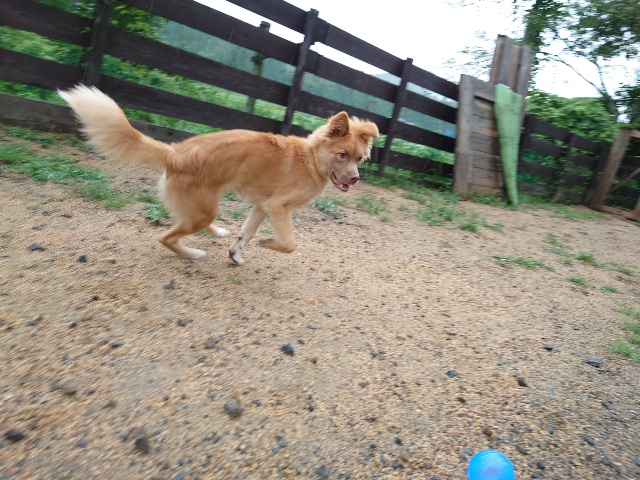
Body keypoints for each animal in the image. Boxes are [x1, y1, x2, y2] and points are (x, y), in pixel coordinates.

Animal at [58, 85, 379, 264]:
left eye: (359, 159)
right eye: (342, 155)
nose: (355, 179)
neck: (311, 159)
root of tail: (174, 152)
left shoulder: (262, 206)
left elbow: (246, 233)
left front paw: (235, 253)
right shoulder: (278, 207)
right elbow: (289, 244)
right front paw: (268, 244)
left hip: (203, 207)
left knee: (188, 224)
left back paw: (217, 233)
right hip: (203, 210)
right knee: (166, 237)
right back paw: (193, 254)